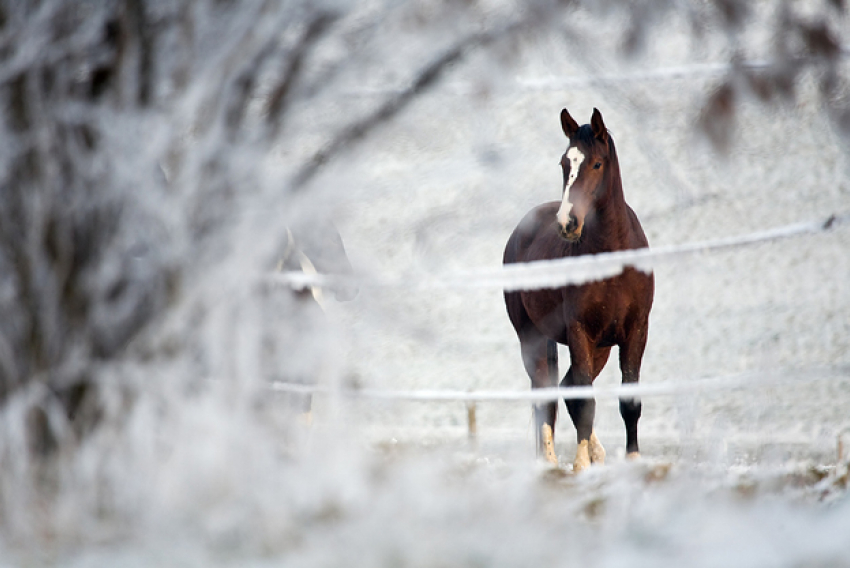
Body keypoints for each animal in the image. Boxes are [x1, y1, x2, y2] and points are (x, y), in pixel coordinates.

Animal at [500, 108, 652, 472]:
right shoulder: (579, 331)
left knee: (566, 386)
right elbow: (585, 398)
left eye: (596, 164)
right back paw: (551, 461)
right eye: (563, 163)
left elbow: (629, 399)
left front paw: (633, 459)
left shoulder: (635, 331)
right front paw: (580, 464)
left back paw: (597, 452)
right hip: (532, 338)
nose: (568, 223)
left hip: (601, 347)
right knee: (546, 391)